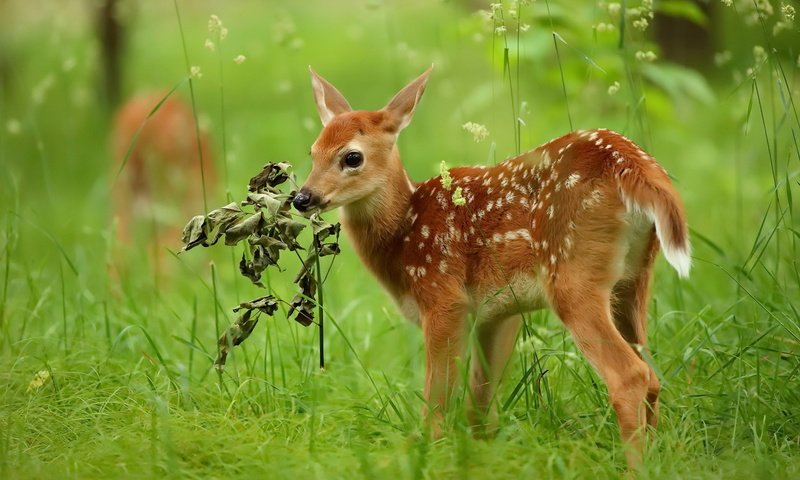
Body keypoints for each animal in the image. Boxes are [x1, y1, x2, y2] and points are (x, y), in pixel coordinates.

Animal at [294, 65, 688, 466]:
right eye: (312, 151)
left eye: (351, 157)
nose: (302, 198)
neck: (404, 232)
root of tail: (633, 165)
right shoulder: (497, 312)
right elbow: (480, 403)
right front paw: (481, 455)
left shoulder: (444, 297)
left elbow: (438, 400)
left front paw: (427, 453)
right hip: (634, 278)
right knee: (653, 374)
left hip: (572, 274)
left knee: (630, 376)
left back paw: (635, 468)